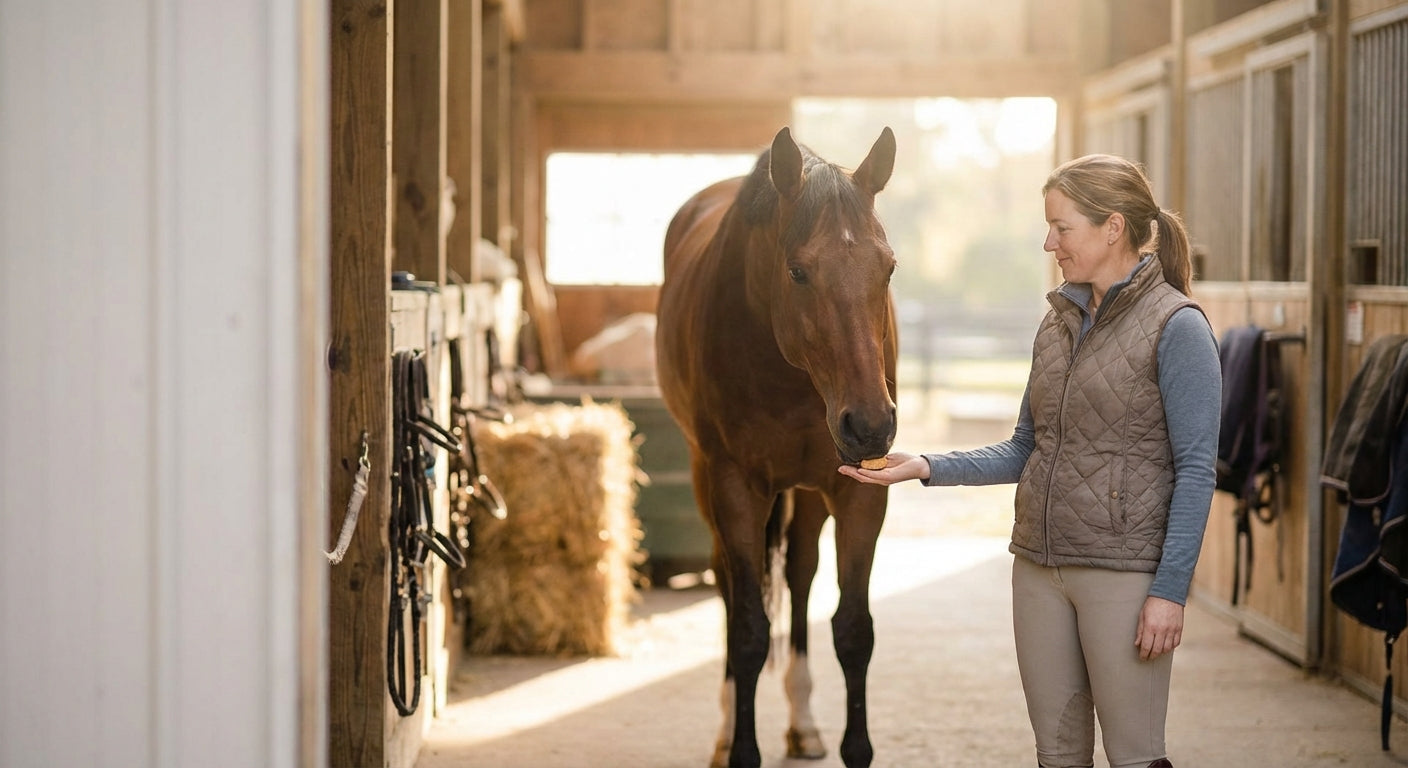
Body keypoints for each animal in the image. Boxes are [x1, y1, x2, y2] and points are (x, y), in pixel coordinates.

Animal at [655, 126, 899, 768]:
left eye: (888, 268)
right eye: (797, 272)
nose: (871, 424)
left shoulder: (859, 492)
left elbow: (853, 630)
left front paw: (853, 746)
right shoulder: (736, 487)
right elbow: (748, 631)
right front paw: (741, 748)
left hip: (808, 493)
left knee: (800, 573)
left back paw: (803, 722)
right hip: (706, 479)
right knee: (727, 581)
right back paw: (724, 731)